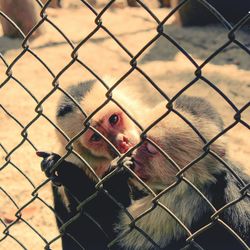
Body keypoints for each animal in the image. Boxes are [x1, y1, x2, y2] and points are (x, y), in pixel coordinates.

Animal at [38, 94, 249, 250]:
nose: (132, 154)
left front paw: (68, 171)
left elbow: (102, 243)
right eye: (140, 139)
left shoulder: (186, 200)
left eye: (149, 148)